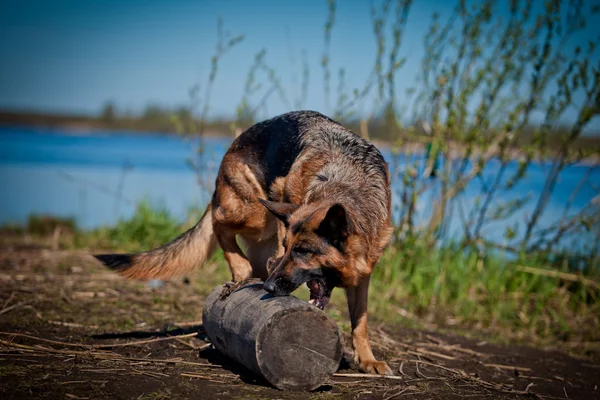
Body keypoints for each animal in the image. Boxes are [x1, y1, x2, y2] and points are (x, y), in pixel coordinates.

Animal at [95, 110, 394, 376]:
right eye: (290, 247)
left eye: (303, 251)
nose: (270, 288)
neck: (346, 181)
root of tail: (238, 140)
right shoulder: (282, 197)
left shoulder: (363, 273)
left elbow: (361, 321)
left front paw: (367, 359)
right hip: (256, 212)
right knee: (219, 222)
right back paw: (241, 268)